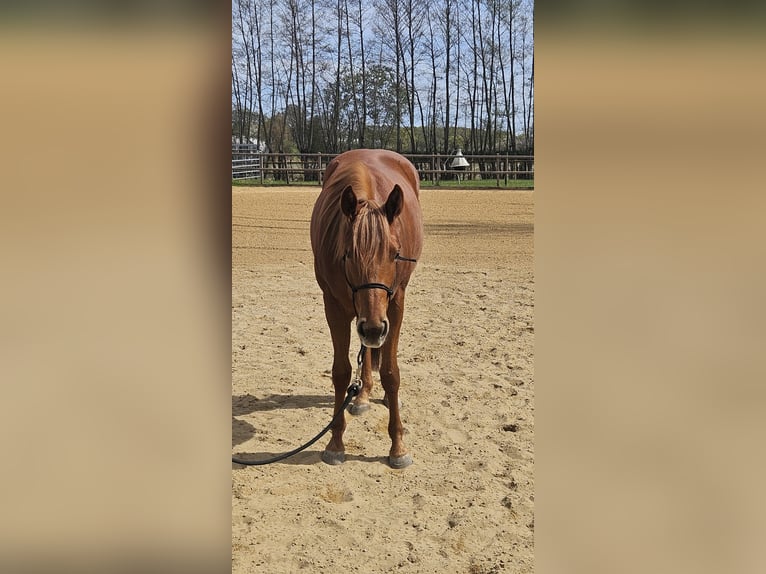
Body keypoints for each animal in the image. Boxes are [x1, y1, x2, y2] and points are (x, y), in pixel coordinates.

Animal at [310, 149, 424, 469]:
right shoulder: (334, 307)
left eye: (395, 253)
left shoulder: (393, 305)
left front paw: (398, 447)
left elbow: (391, 372)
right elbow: (341, 371)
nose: (373, 328)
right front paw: (335, 443)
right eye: (348, 253)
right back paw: (361, 397)